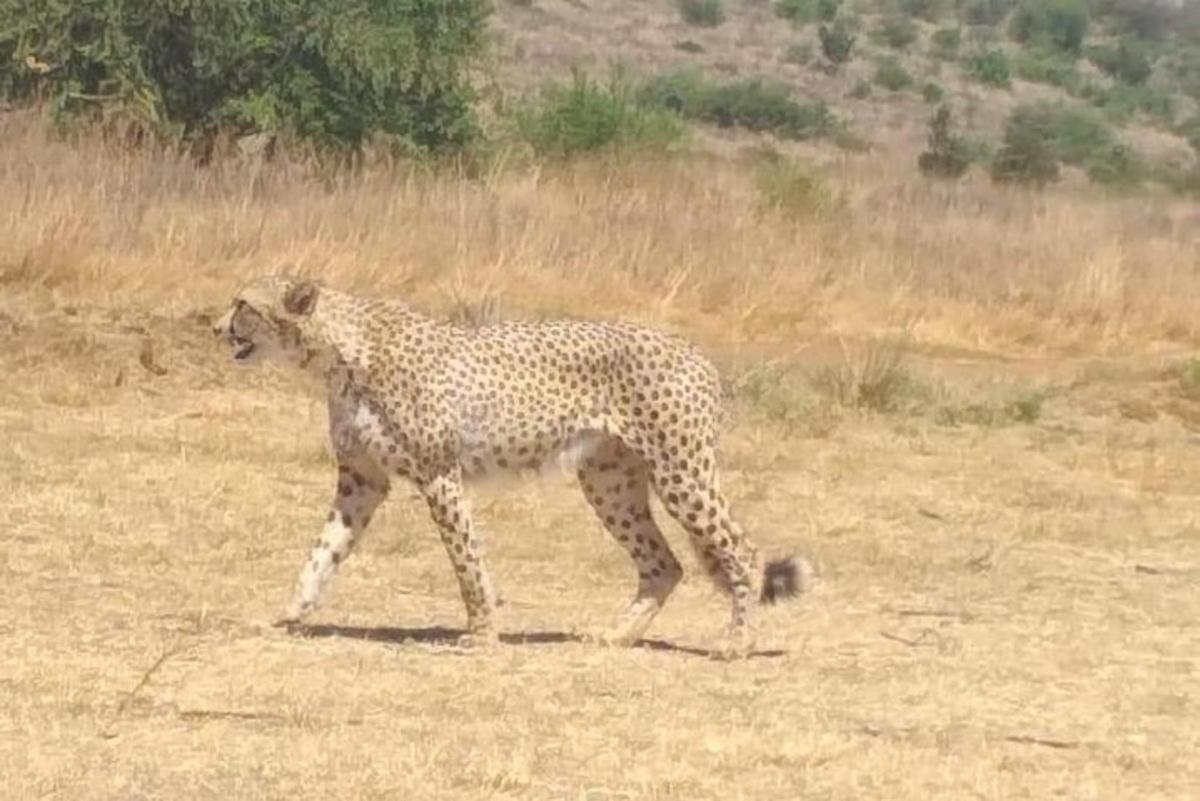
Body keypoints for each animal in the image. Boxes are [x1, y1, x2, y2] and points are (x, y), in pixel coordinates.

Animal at [213, 275, 806, 652]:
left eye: (242, 304)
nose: (216, 327)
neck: (340, 351)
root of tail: (696, 351)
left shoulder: (438, 474)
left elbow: (466, 559)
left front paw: (481, 632)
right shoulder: (362, 480)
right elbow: (322, 553)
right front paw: (290, 614)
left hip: (680, 471)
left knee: (741, 550)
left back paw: (738, 641)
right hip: (608, 481)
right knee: (664, 563)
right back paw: (616, 637)